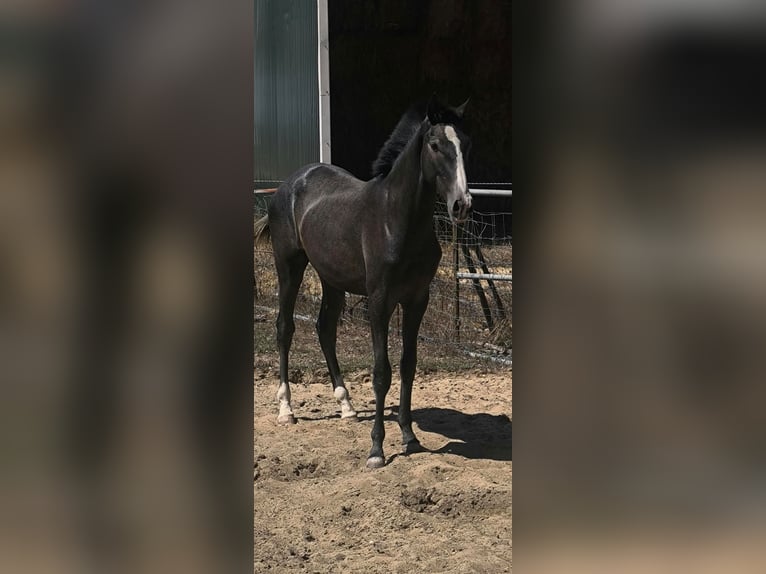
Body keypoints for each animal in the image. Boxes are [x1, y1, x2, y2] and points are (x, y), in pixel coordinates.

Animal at [254, 96, 471, 469]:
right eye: (434, 145)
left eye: (465, 145)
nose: (462, 205)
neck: (395, 219)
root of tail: (289, 184)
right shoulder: (380, 301)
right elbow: (382, 371)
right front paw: (377, 450)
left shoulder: (417, 299)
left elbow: (408, 365)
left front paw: (410, 437)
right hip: (289, 266)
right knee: (285, 327)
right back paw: (287, 410)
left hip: (332, 279)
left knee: (325, 329)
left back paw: (347, 406)